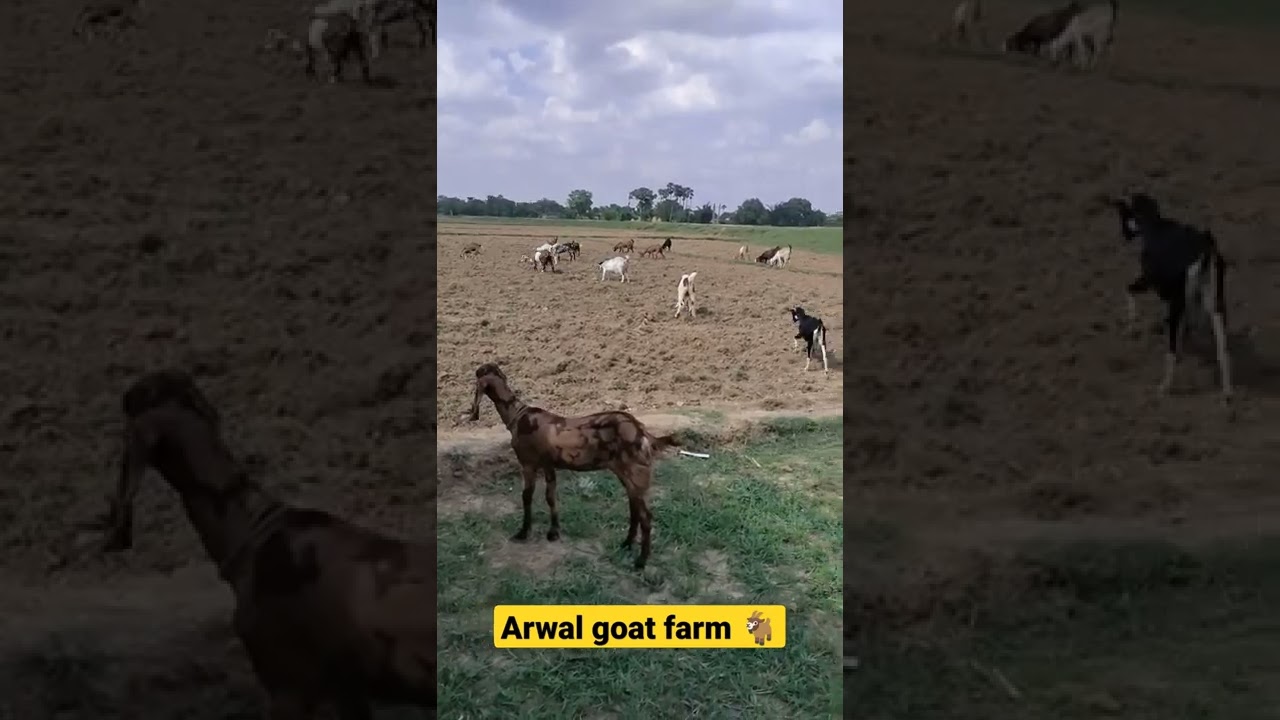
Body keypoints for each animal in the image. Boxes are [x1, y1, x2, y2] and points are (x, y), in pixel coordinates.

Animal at [464, 364, 680, 569]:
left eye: (478, 374)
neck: (517, 415)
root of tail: (642, 431)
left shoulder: (528, 464)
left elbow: (526, 497)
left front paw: (523, 532)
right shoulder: (548, 465)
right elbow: (551, 497)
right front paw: (553, 532)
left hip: (636, 473)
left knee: (646, 517)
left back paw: (641, 562)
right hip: (626, 474)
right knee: (634, 509)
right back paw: (626, 544)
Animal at [1111, 193, 1232, 398]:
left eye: (1124, 215)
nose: (1125, 237)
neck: (1155, 225)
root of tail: (1204, 251)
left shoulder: (1150, 283)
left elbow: (1128, 290)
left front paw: (1130, 326)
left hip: (1178, 304)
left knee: (1171, 351)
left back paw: (1164, 387)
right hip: (1215, 305)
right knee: (1222, 349)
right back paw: (1228, 391)